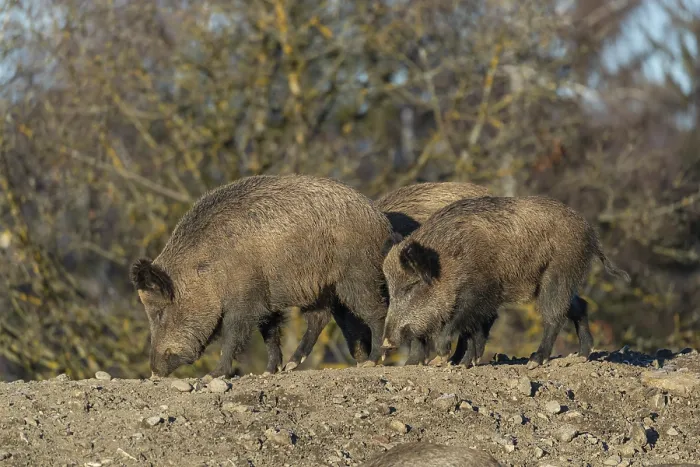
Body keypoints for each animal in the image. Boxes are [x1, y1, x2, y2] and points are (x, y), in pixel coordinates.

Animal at [130, 174, 393, 378]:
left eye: (160, 313)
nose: (154, 372)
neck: (206, 269)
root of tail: (380, 220)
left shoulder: (246, 300)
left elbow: (233, 335)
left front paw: (212, 375)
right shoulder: (266, 303)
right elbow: (270, 334)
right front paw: (270, 371)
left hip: (355, 275)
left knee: (376, 311)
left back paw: (373, 360)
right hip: (317, 287)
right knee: (319, 318)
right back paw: (291, 365)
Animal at [380, 195, 630, 370]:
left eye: (411, 286)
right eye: (390, 289)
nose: (386, 342)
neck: (449, 262)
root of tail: (591, 233)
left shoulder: (481, 293)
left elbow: (462, 323)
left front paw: (446, 357)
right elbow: (472, 331)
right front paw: (462, 363)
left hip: (558, 274)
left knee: (554, 316)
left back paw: (535, 361)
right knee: (580, 306)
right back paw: (582, 355)